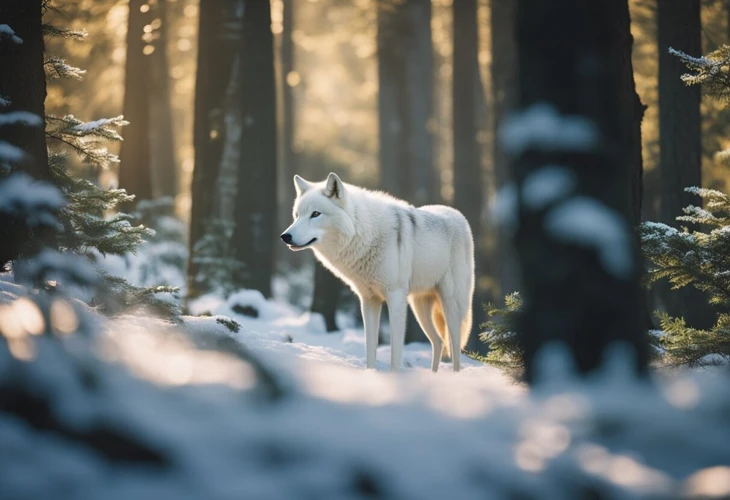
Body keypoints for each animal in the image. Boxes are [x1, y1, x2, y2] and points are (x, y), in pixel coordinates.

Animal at [278, 172, 472, 372]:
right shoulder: (369, 300)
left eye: (315, 214)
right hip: (419, 308)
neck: (364, 233)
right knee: (438, 342)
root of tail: (458, 214)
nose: (285, 236)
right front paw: (371, 374)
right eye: (297, 215)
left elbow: (395, 352)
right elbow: (370, 348)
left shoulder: (395, 298)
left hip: (451, 306)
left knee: (455, 348)